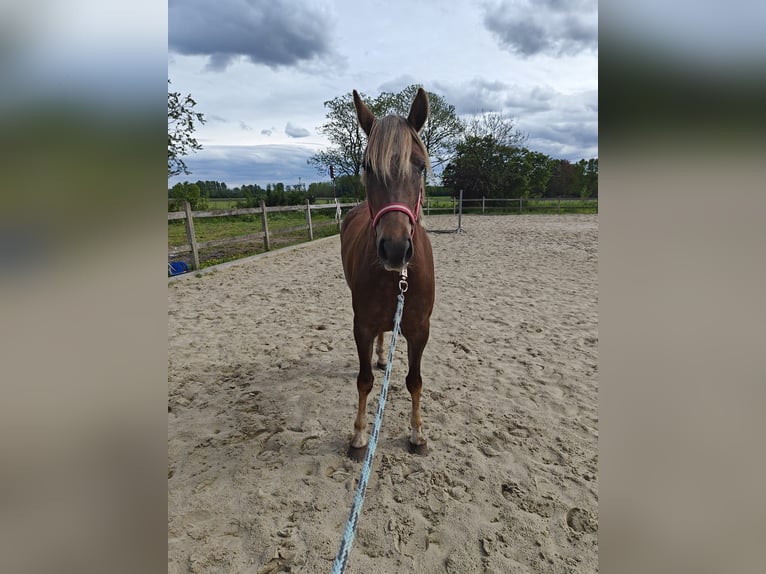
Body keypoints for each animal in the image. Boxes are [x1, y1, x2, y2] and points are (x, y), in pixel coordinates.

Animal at [340, 86, 436, 464]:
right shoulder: (362, 325)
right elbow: (364, 380)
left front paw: (418, 433)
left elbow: (415, 380)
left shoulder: (420, 329)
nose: (395, 249)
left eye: (420, 166)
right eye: (367, 167)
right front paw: (358, 436)